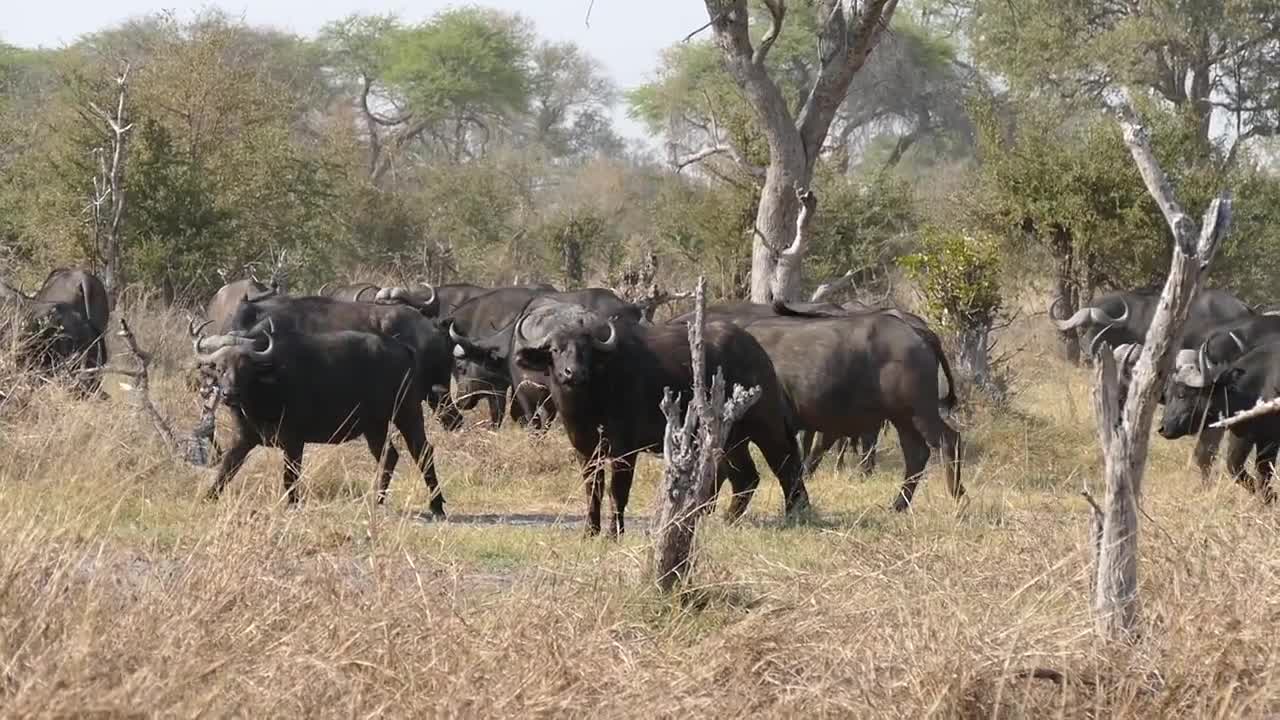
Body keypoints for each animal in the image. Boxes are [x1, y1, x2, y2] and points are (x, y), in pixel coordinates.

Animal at [192, 325, 448, 509]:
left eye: (244, 369)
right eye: (220, 368)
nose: (229, 394)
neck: (265, 389)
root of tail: (403, 348)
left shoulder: (293, 441)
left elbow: (290, 476)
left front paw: (293, 503)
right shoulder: (243, 439)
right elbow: (226, 469)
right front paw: (208, 497)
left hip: (407, 412)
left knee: (423, 452)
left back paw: (436, 504)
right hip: (374, 426)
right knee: (389, 456)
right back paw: (378, 500)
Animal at [512, 304, 803, 535]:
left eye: (585, 350)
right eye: (556, 349)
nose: (572, 373)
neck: (590, 400)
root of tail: (758, 352)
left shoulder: (624, 451)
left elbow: (617, 492)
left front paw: (613, 533)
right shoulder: (585, 451)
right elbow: (593, 490)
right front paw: (590, 531)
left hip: (767, 424)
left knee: (786, 466)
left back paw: (796, 513)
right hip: (730, 438)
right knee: (746, 477)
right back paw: (724, 520)